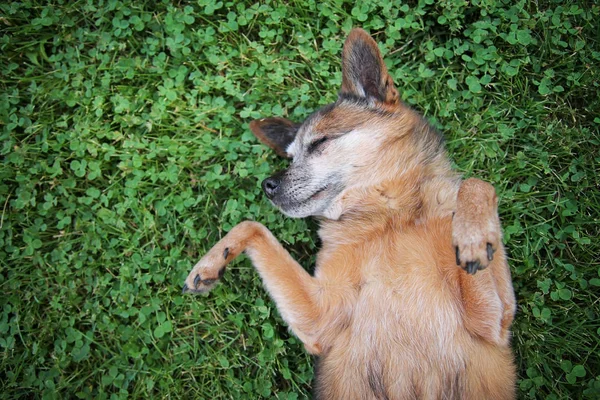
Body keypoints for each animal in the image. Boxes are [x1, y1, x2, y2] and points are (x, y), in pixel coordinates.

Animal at [183, 28, 516, 400]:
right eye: (290, 156)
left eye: (319, 143)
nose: (268, 184)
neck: (388, 219)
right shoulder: (321, 316)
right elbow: (252, 225)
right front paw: (210, 263)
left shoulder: (492, 321)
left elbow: (478, 183)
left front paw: (473, 237)